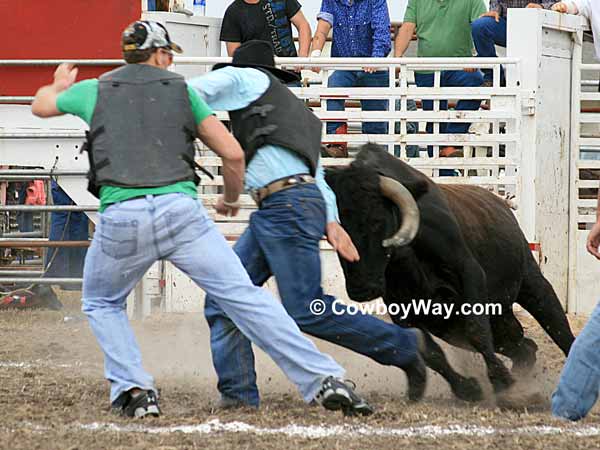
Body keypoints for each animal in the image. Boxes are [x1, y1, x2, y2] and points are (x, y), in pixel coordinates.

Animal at [326, 145, 576, 400]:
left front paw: (502, 382)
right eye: (335, 229)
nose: (361, 289)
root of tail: (501, 204)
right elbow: (429, 351)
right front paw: (467, 388)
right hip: (488, 323)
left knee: (559, 329)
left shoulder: (470, 274)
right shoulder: (402, 308)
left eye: (376, 221)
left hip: (532, 285)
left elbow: (476, 330)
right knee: (524, 347)